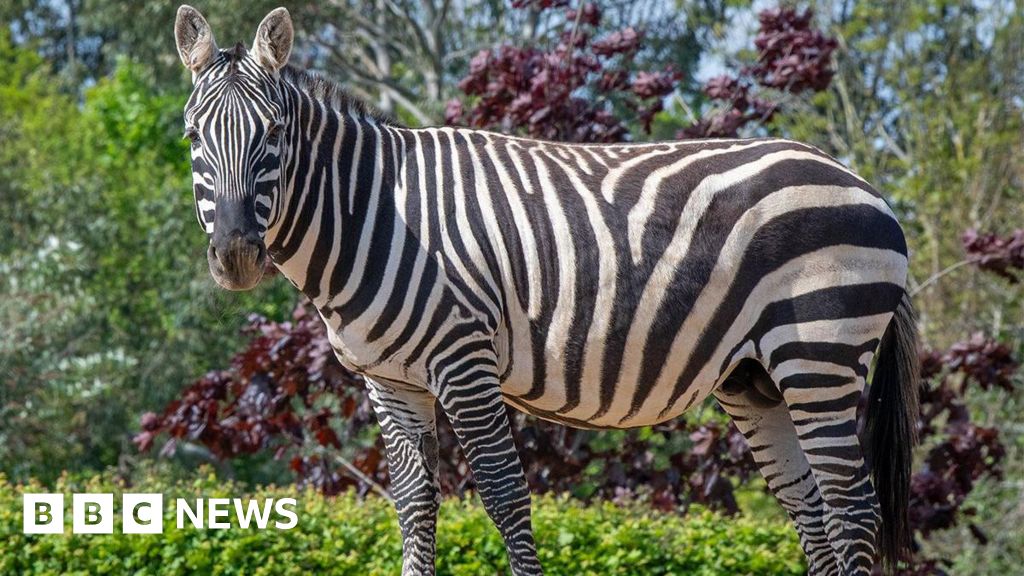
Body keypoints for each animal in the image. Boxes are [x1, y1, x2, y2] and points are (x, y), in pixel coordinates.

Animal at [176, 6, 921, 569]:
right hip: (755, 377)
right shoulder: (390, 381)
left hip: (817, 354)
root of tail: (862, 184)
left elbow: (506, 496)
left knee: (852, 508)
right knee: (811, 510)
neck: (375, 213)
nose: (237, 257)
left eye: (274, 134)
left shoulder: (463, 358)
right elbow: (415, 508)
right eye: (191, 138)